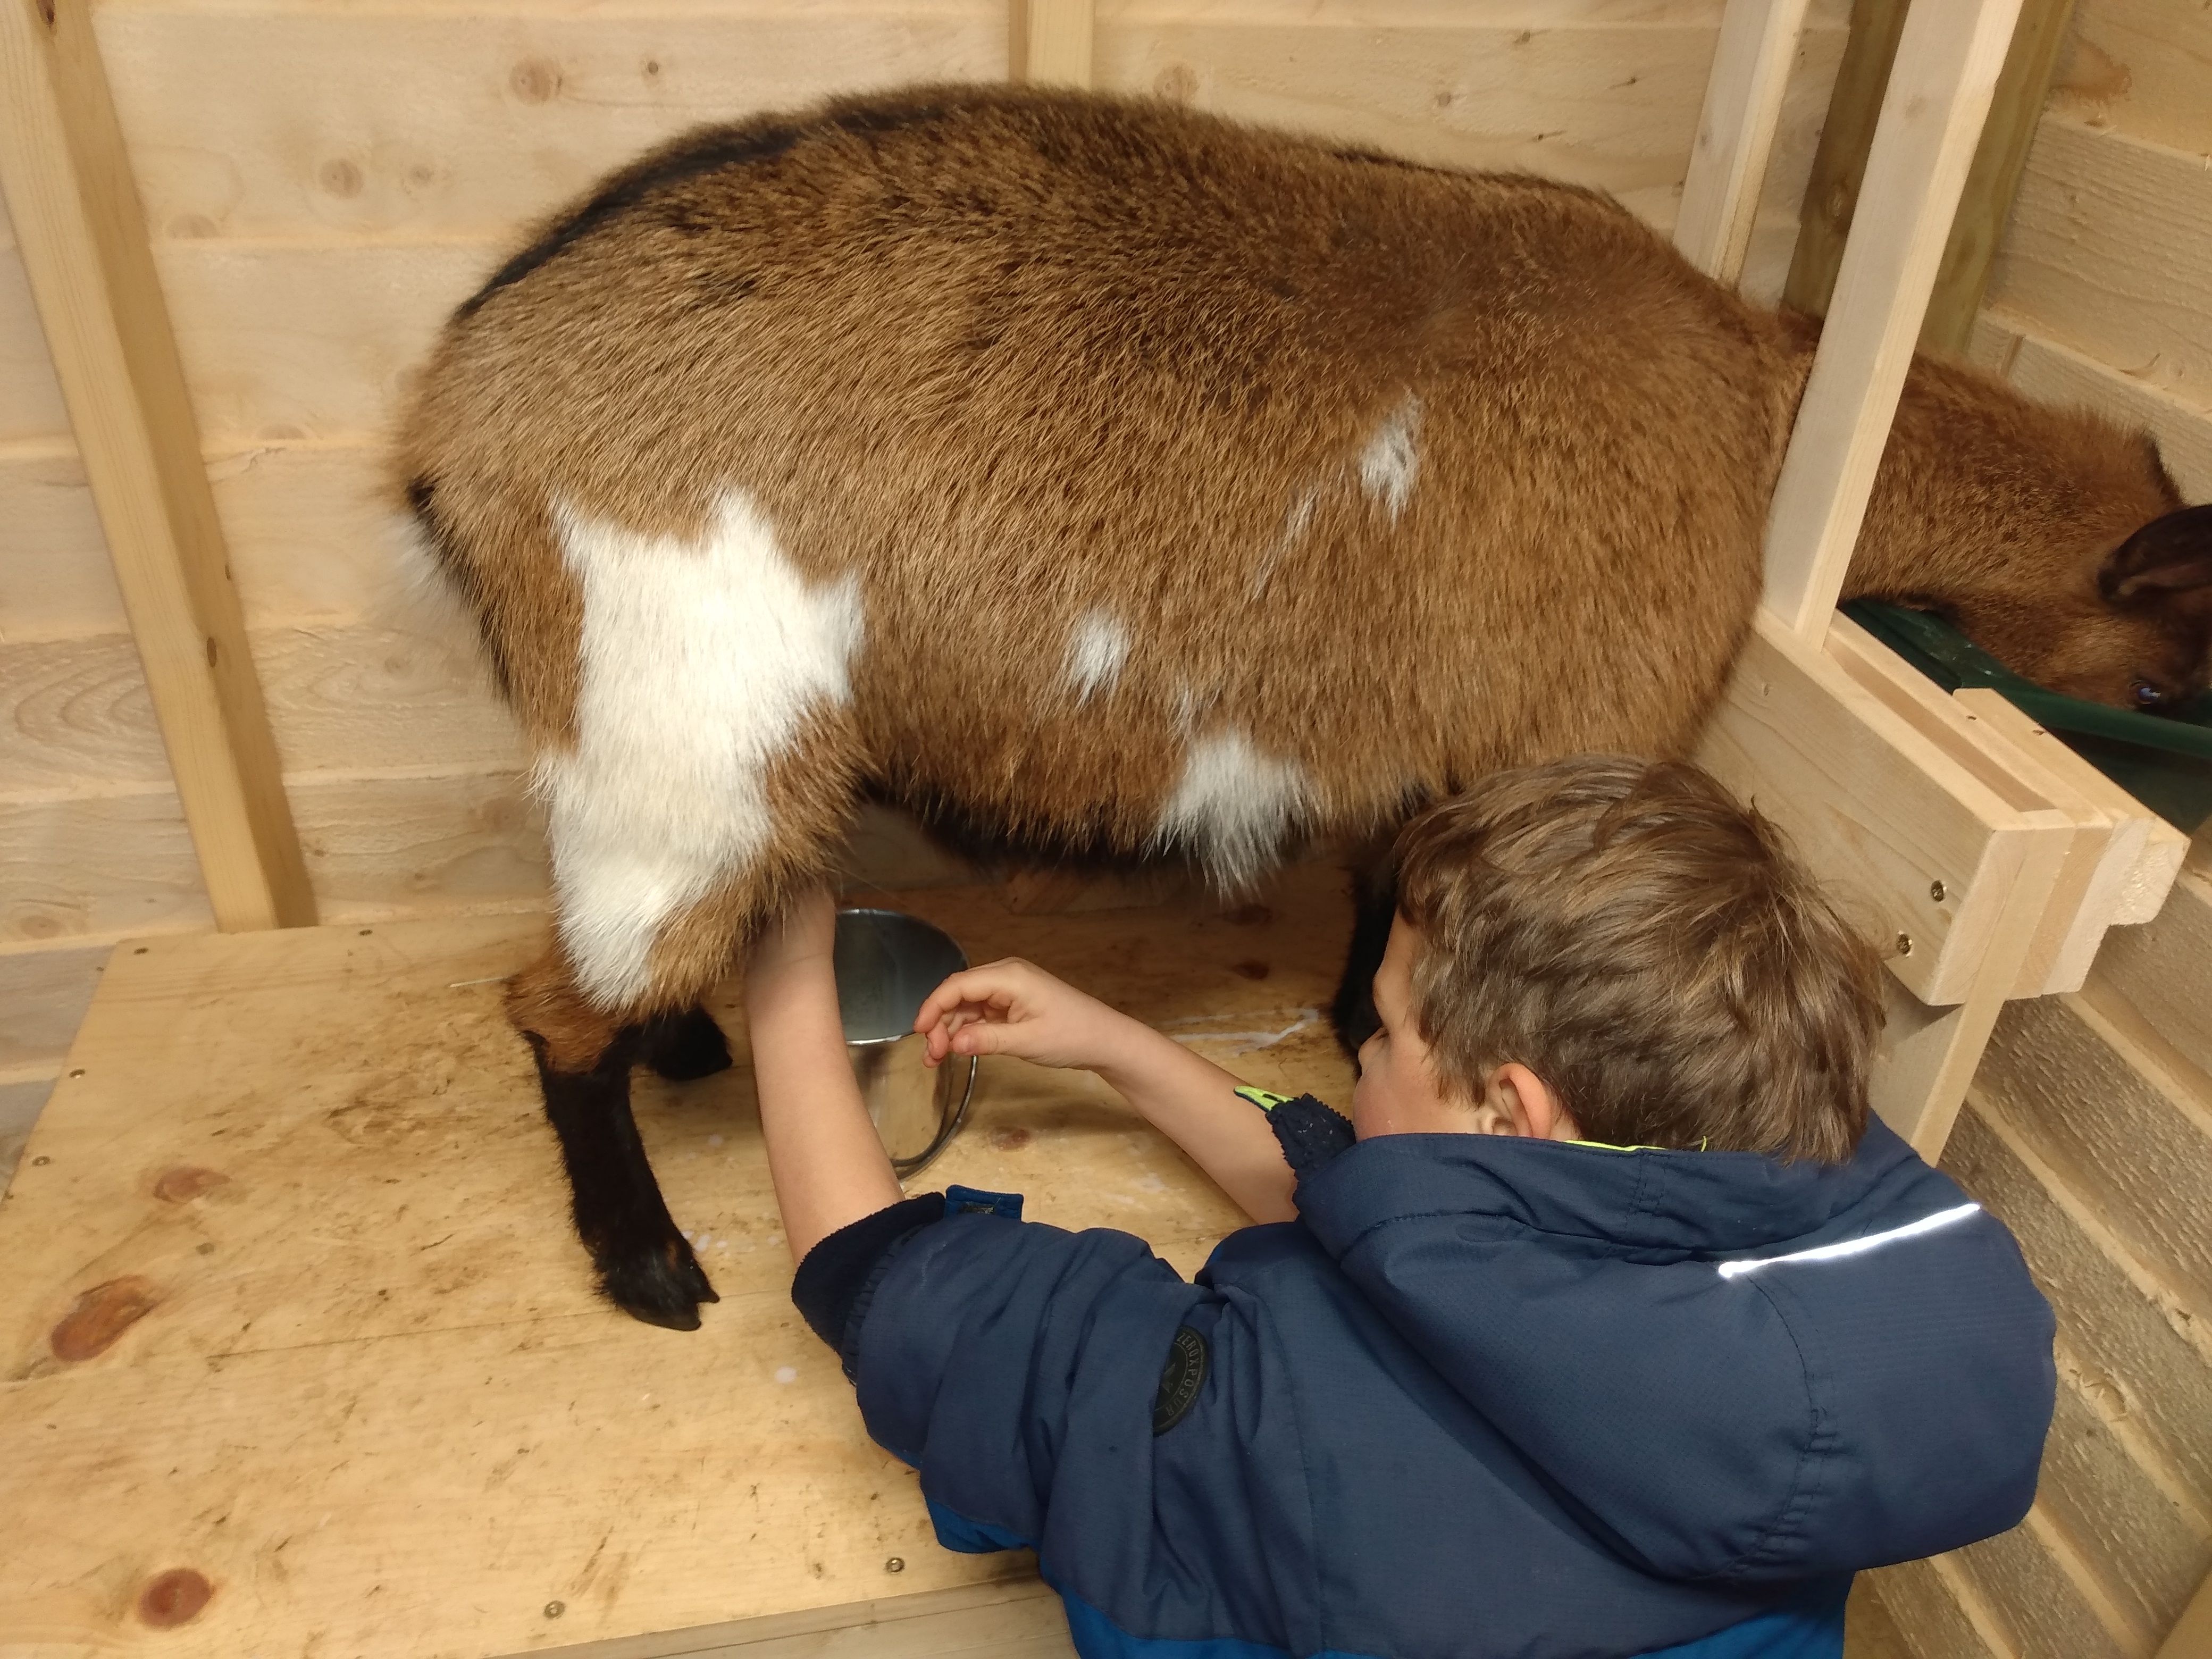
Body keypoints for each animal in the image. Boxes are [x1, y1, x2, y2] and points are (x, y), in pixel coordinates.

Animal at [394, 84, 2212, 1328]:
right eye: (2170, 666)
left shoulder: (1431, 733)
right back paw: (646, 1252)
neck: (1756, 402)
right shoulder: (1574, 718)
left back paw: (695, 1044)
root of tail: (462, 390)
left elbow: (1404, 880)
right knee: (554, 997)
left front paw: (1361, 1022)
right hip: (683, 729)